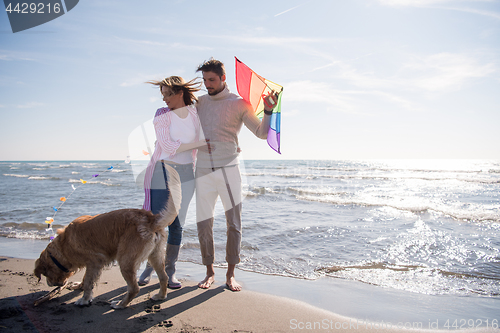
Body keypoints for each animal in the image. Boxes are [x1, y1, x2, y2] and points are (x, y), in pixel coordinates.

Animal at [33, 165, 182, 308]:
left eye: (45, 273)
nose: (49, 284)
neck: (64, 245)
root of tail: (150, 218)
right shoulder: (91, 265)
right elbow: (86, 279)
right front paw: (79, 286)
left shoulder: (94, 262)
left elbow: (88, 283)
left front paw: (84, 300)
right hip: (155, 256)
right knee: (163, 278)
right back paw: (160, 296)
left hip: (125, 260)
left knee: (134, 288)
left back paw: (120, 304)